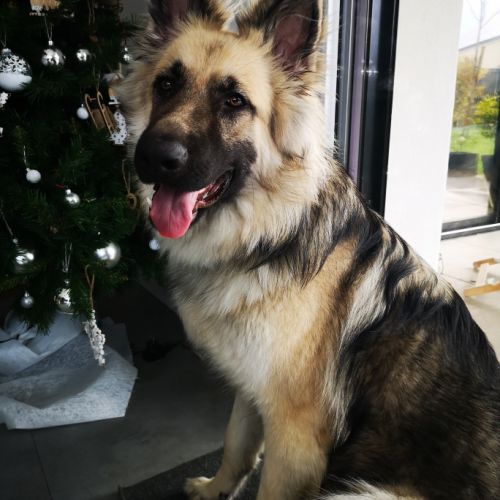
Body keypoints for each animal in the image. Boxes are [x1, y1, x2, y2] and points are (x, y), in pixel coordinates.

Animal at [121, 0, 500, 498]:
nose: (153, 157)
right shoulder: (253, 390)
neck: (267, 235)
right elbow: (236, 445)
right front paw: (216, 489)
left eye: (234, 101)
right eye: (165, 85)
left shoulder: (296, 438)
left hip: (361, 490)